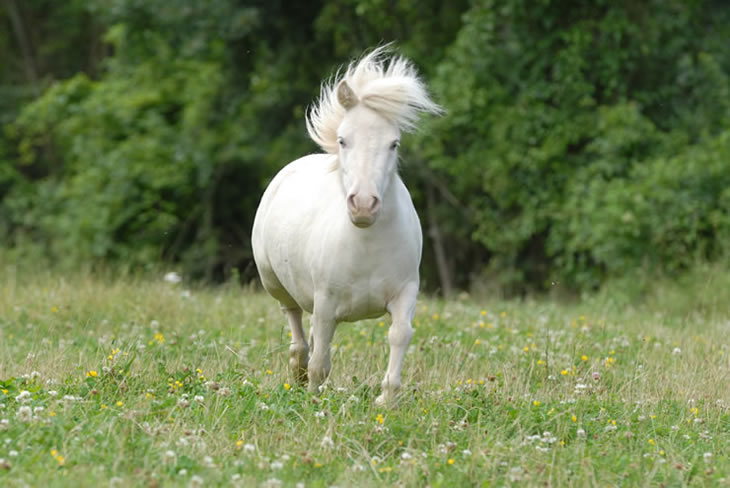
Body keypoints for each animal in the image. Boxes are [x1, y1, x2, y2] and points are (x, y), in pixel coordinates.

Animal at [252, 45, 438, 404]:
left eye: (394, 143)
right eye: (343, 140)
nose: (363, 204)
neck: (366, 242)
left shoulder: (406, 292)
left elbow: (399, 335)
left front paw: (387, 398)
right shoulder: (325, 301)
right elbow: (321, 358)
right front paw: (313, 396)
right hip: (275, 283)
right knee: (295, 320)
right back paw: (297, 370)